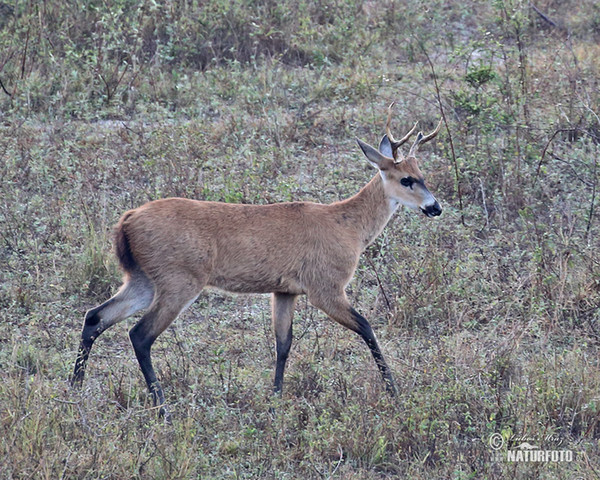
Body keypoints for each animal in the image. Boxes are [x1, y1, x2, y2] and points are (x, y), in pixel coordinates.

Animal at [72, 104, 442, 416]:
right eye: (406, 179)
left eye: (423, 174)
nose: (435, 207)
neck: (347, 226)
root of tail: (126, 221)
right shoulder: (325, 286)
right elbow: (366, 327)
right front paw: (394, 390)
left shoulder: (285, 290)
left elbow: (283, 344)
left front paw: (275, 398)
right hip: (179, 279)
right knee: (139, 334)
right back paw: (162, 408)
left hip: (143, 279)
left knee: (95, 316)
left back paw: (74, 391)